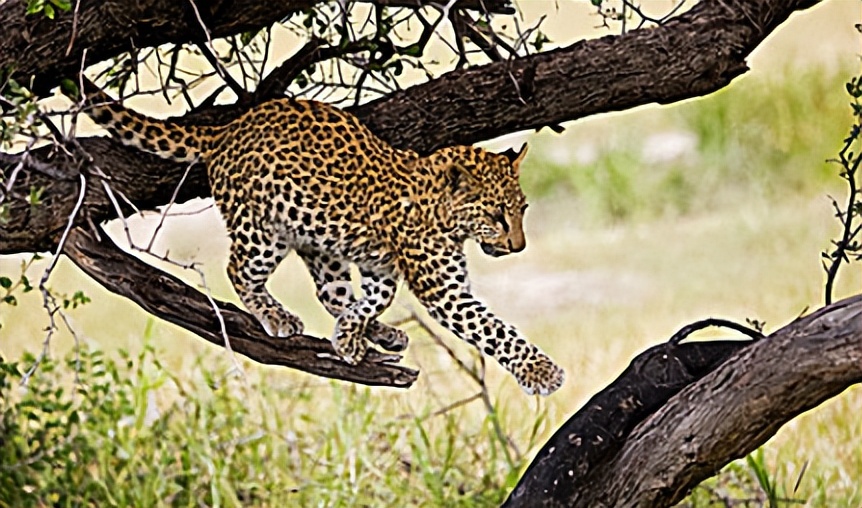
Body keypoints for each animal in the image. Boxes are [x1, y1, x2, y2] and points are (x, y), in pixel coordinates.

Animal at [76, 88, 565, 396]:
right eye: (495, 215)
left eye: (521, 210)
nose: (519, 247)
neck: (440, 209)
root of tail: (230, 128)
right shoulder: (443, 290)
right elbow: (495, 330)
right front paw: (541, 372)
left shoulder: (380, 266)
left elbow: (375, 297)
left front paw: (352, 334)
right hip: (264, 230)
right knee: (238, 269)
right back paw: (278, 317)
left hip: (318, 237)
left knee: (329, 291)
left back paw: (378, 335)